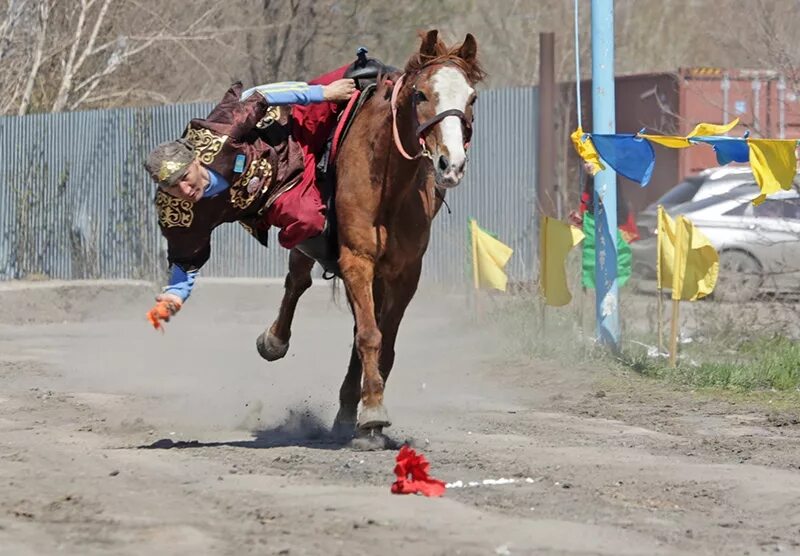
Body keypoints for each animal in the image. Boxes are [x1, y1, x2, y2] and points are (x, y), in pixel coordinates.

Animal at [256, 30, 484, 448]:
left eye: (471, 97)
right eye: (421, 94)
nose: (451, 165)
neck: (389, 185)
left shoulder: (405, 273)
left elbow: (383, 340)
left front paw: (369, 412)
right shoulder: (356, 260)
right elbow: (369, 335)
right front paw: (374, 410)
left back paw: (349, 409)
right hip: (311, 245)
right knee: (297, 282)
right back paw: (274, 342)